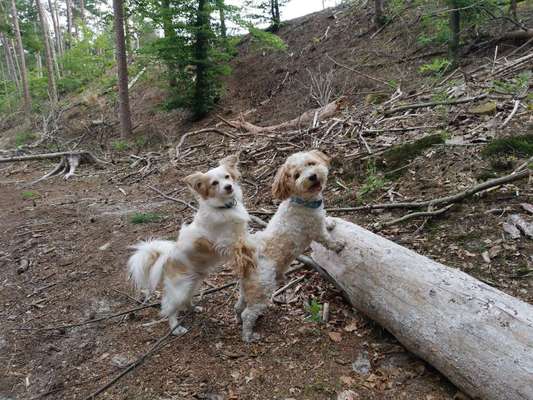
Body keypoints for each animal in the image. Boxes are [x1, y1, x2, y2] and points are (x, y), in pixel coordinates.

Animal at [129, 156, 254, 334]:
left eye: (227, 177)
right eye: (214, 183)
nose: (228, 187)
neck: (223, 207)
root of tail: (167, 259)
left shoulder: (241, 232)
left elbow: (247, 238)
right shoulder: (225, 242)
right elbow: (238, 247)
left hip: (193, 283)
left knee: (187, 299)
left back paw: (193, 308)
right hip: (179, 289)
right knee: (169, 308)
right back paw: (176, 328)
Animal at [234, 150, 342, 340]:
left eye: (311, 163)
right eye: (296, 175)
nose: (312, 176)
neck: (302, 202)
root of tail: (247, 262)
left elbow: (325, 221)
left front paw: (330, 222)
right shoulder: (315, 230)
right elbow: (326, 240)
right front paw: (337, 245)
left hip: (247, 290)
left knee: (239, 306)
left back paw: (240, 321)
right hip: (263, 289)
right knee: (248, 313)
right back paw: (249, 336)